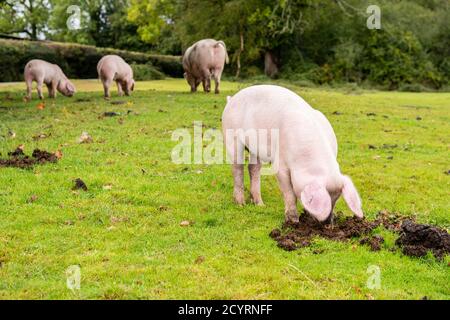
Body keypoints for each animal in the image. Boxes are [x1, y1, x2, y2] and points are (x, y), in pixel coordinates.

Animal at [222, 85, 366, 225]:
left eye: (336, 199)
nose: (326, 223)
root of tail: (231, 99)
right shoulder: (280, 164)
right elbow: (289, 193)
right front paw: (293, 221)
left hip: (255, 147)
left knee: (253, 168)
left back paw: (260, 204)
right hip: (231, 137)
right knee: (237, 168)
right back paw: (240, 204)